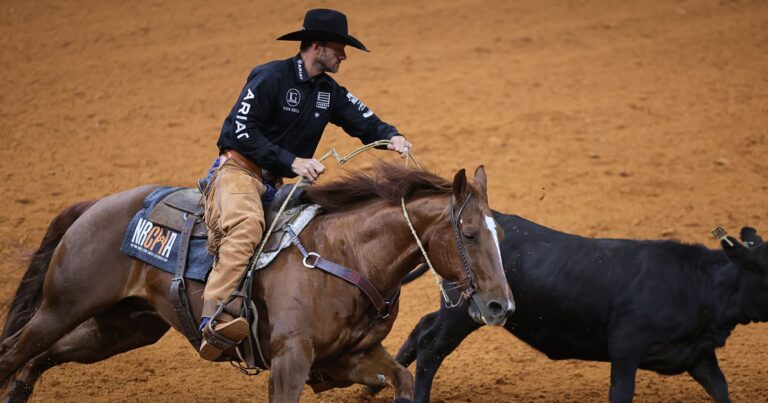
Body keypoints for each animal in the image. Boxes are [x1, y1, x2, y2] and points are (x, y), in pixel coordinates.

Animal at [0, 163, 514, 403]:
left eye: (500, 233)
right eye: (470, 233)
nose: (500, 307)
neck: (346, 255)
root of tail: (93, 206)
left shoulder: (351, 358)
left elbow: (404, 378)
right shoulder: (290, 359)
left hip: (123, 328)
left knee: (43, 356)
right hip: (62, 306)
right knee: (13, 352)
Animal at [389, 211, 768, 403]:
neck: (695, 283)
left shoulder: (699, 355)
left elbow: (720, 388)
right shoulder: (626, 351)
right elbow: (621, 393)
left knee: (421, 328)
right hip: (462, 316)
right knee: (432, 347)